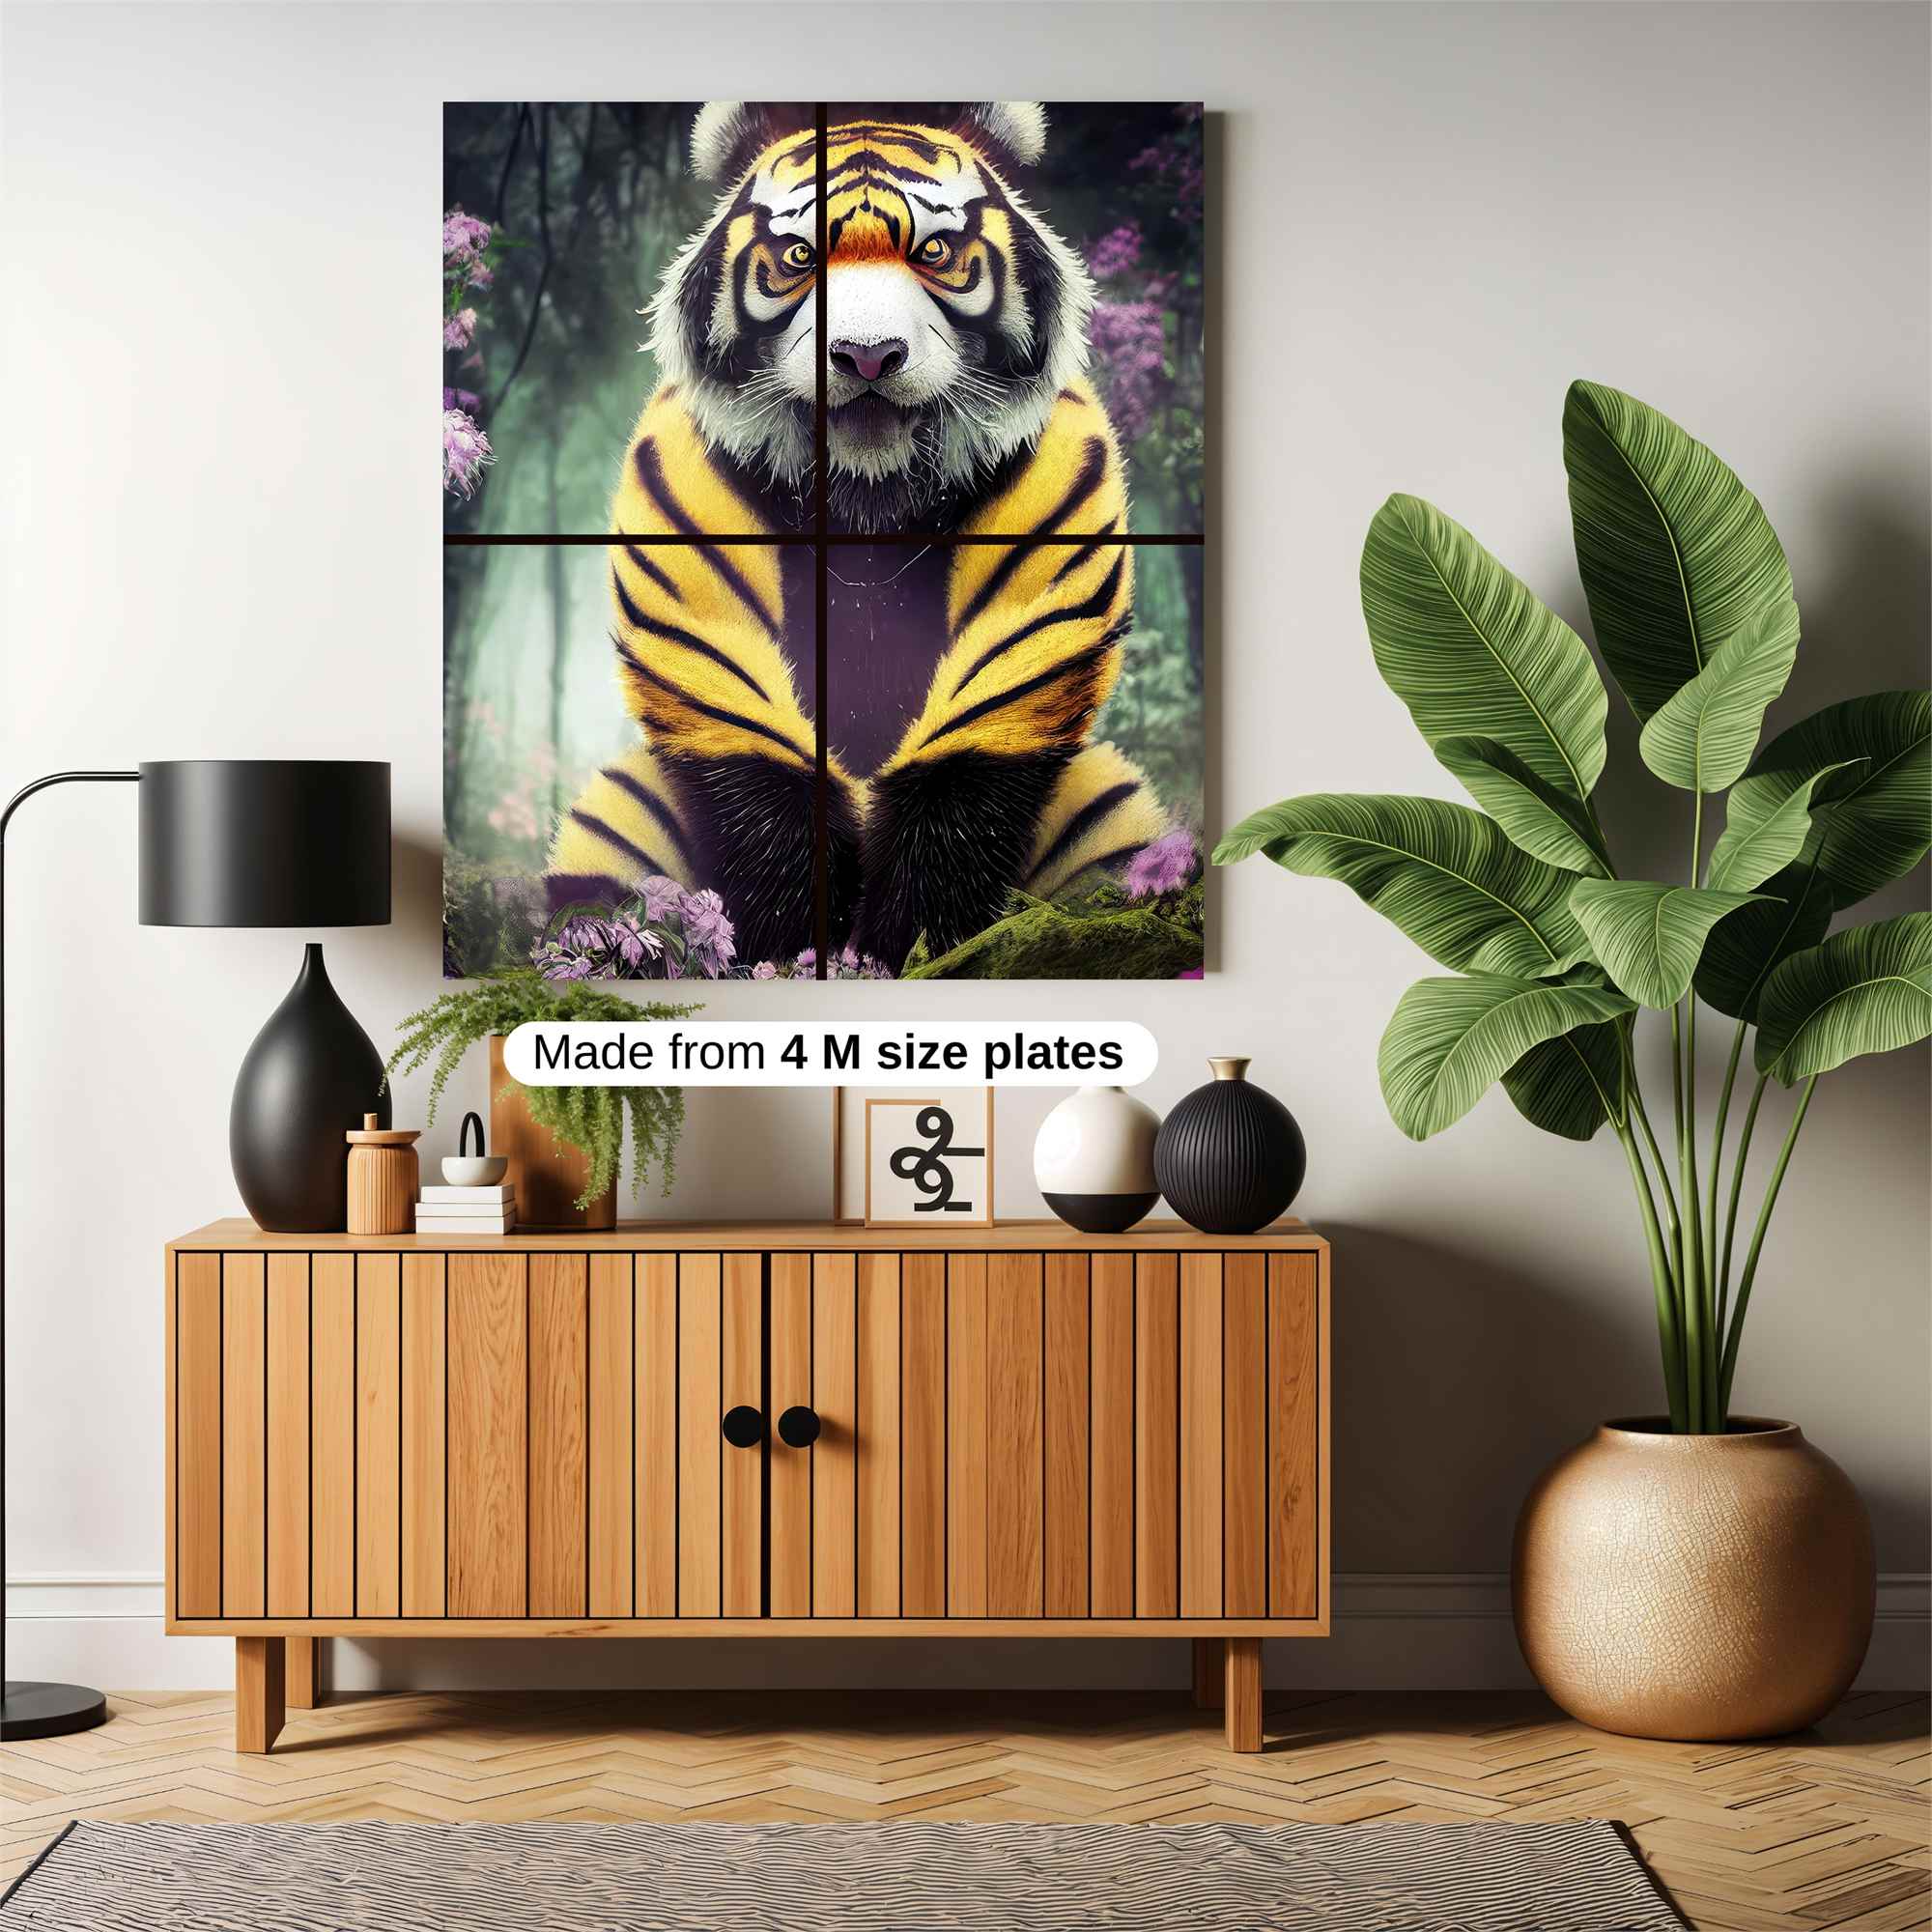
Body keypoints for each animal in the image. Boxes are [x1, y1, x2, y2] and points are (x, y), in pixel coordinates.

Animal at [546, 101, 1169, 972]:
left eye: (934, 252)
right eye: (799, 257)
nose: (866, 356)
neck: (868, 498)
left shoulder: (1052, 514)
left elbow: (964, 770)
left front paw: (906, 955)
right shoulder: (686, 510)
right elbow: (759, 764)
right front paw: (788, 957)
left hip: (1109, 813)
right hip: (620, 816)